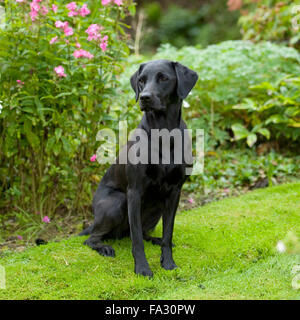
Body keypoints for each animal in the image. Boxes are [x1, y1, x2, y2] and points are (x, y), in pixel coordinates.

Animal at [79, 60, 198, 278]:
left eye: (163, 78)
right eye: (141, 80)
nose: (144, 97)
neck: (163, 133)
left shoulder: (175, 192)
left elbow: (168, 234)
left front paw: (168, 262)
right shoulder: (134, 192)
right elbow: (136, 240)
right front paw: (142, 268)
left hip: (157, 209)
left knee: (141, 233)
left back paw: (155, 240)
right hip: (117, 203)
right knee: (93, 238)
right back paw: (104, 247)